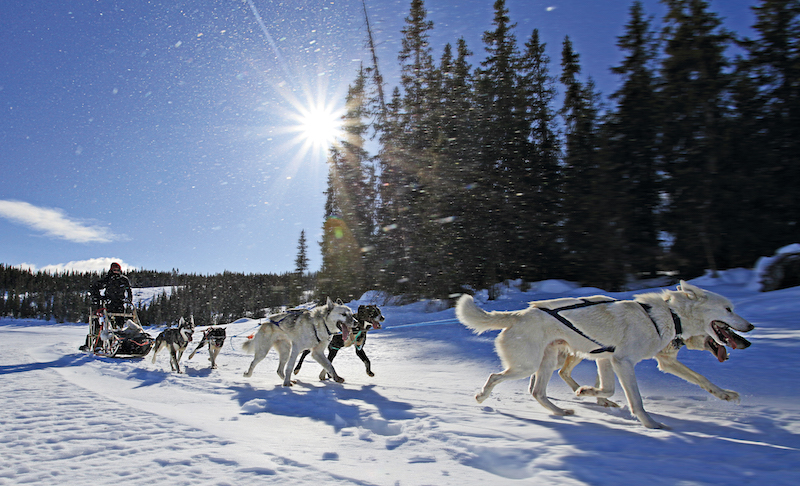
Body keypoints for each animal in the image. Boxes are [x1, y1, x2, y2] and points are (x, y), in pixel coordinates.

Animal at [460, 280, 752, 430]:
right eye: (728, 309)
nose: (750, 329)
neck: (669, 316)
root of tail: (518, 315)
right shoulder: (622, 361)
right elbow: (635, 400)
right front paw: (651, 424)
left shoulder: (608, 359)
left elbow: (703, 380)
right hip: (527, 365)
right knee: (495, 376)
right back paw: (481, 396)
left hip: (548, 361)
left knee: (537, 391)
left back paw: (561, 411)